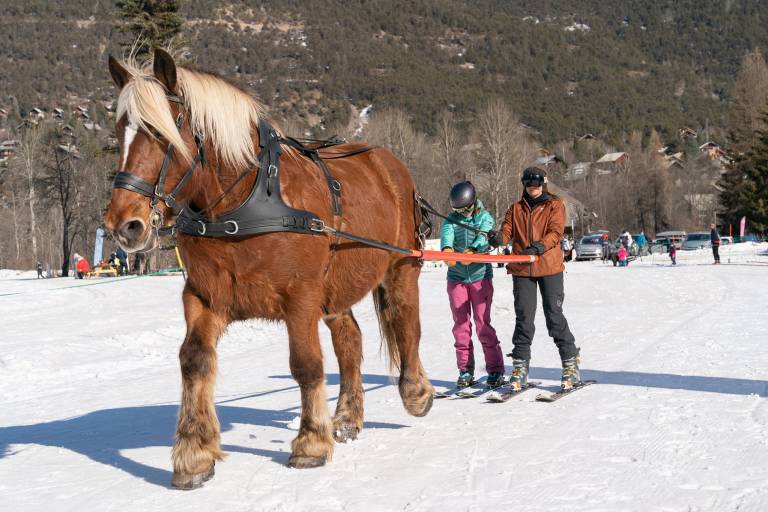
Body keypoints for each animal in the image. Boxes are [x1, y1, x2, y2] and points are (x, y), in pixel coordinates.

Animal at [104, 49, 434, 489]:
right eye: (120, 130)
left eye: (161, 132)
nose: (125, 224)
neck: (244, 200)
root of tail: (389, 163)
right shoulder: (205, 296)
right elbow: (194, 360)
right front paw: (193, 453)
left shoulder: (301, 296)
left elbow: (307, 365)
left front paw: (311, 443)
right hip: (336, 288)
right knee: (350, 341)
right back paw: (347, 417)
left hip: (400, 265)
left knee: (405, 321)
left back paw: (415, 392)